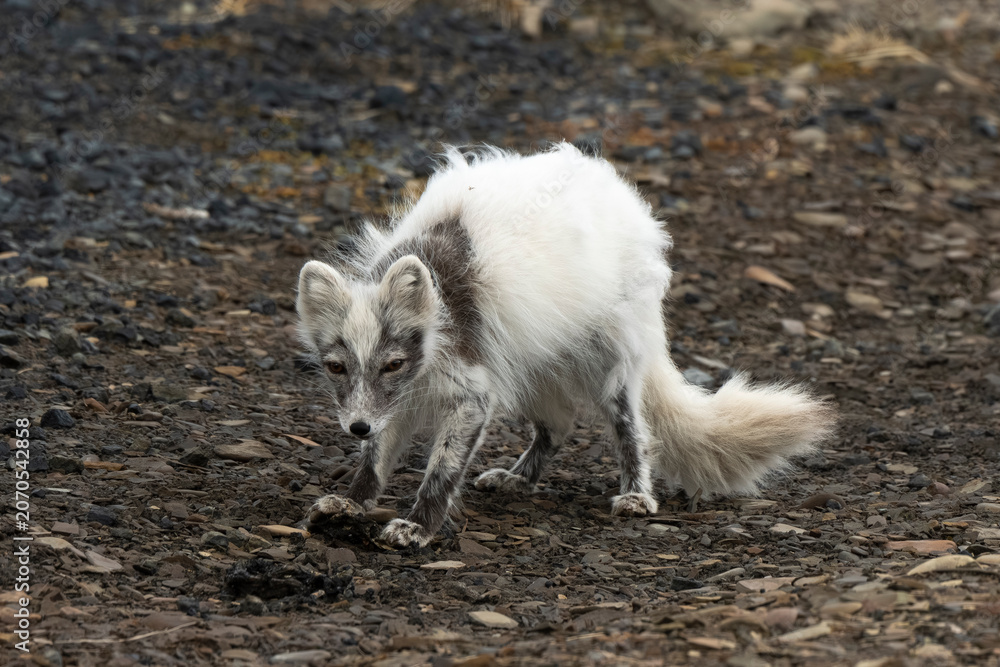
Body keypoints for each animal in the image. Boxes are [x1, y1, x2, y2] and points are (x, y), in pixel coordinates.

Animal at [296, 143, 835, 548]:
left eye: (393, 363)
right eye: (336, 367)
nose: (355, 427)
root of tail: (621, 193)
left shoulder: (472, 393)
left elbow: (442, 470)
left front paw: (417, 527)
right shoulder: (395, 404)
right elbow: (374, 459)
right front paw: (351, 502)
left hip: (608, 363)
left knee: (632, 429)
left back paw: (636, 496)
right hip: (529, 363)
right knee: (559, 424)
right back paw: (518, 479)